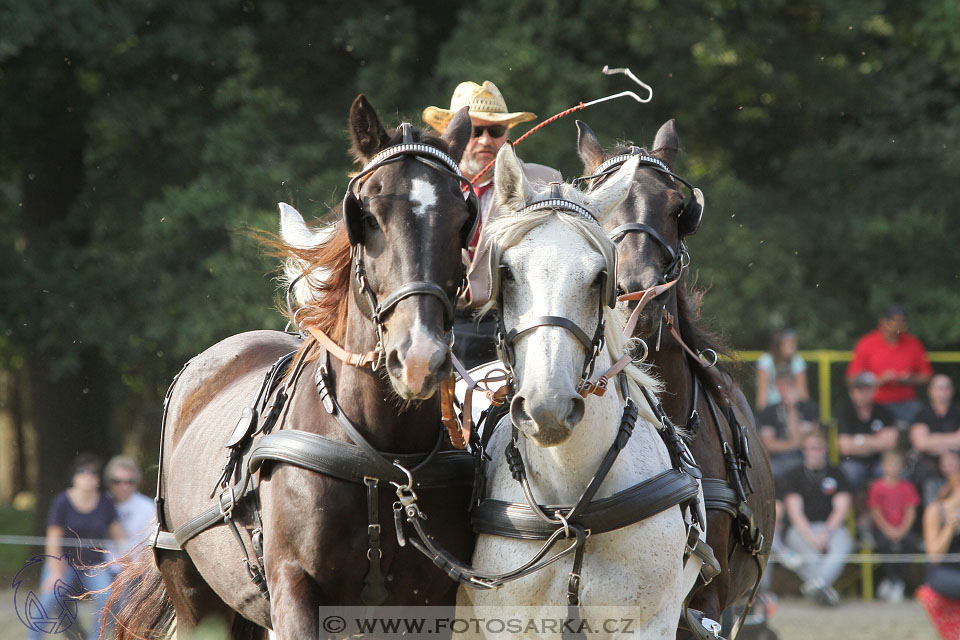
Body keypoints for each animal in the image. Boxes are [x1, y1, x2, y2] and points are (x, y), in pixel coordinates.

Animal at [111, 96, 480, 640]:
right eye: (367, 217)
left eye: (461, 220)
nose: (419, 359)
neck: (381, 456)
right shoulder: (295, 588)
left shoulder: (427, 602)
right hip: (191, 586)